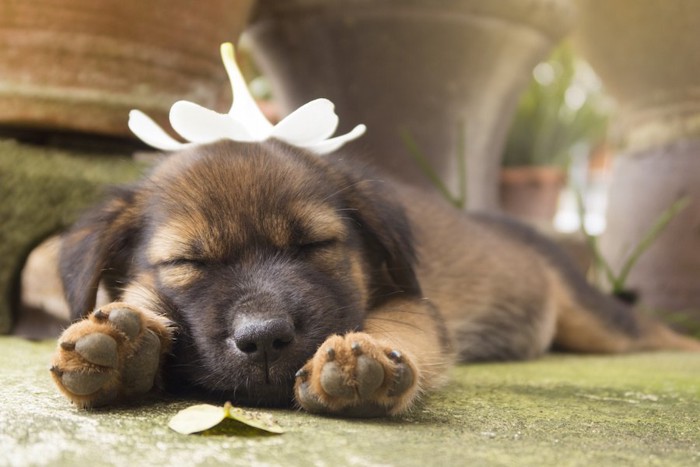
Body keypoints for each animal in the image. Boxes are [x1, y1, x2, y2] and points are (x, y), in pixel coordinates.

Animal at [50, 140, 700, 416]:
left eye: (315, 245)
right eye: (189, 262)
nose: (265, 340)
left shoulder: (415, 304)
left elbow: (391, 327)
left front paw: (360, 359)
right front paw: (122, 349)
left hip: (602, 323)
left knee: (655, 333)